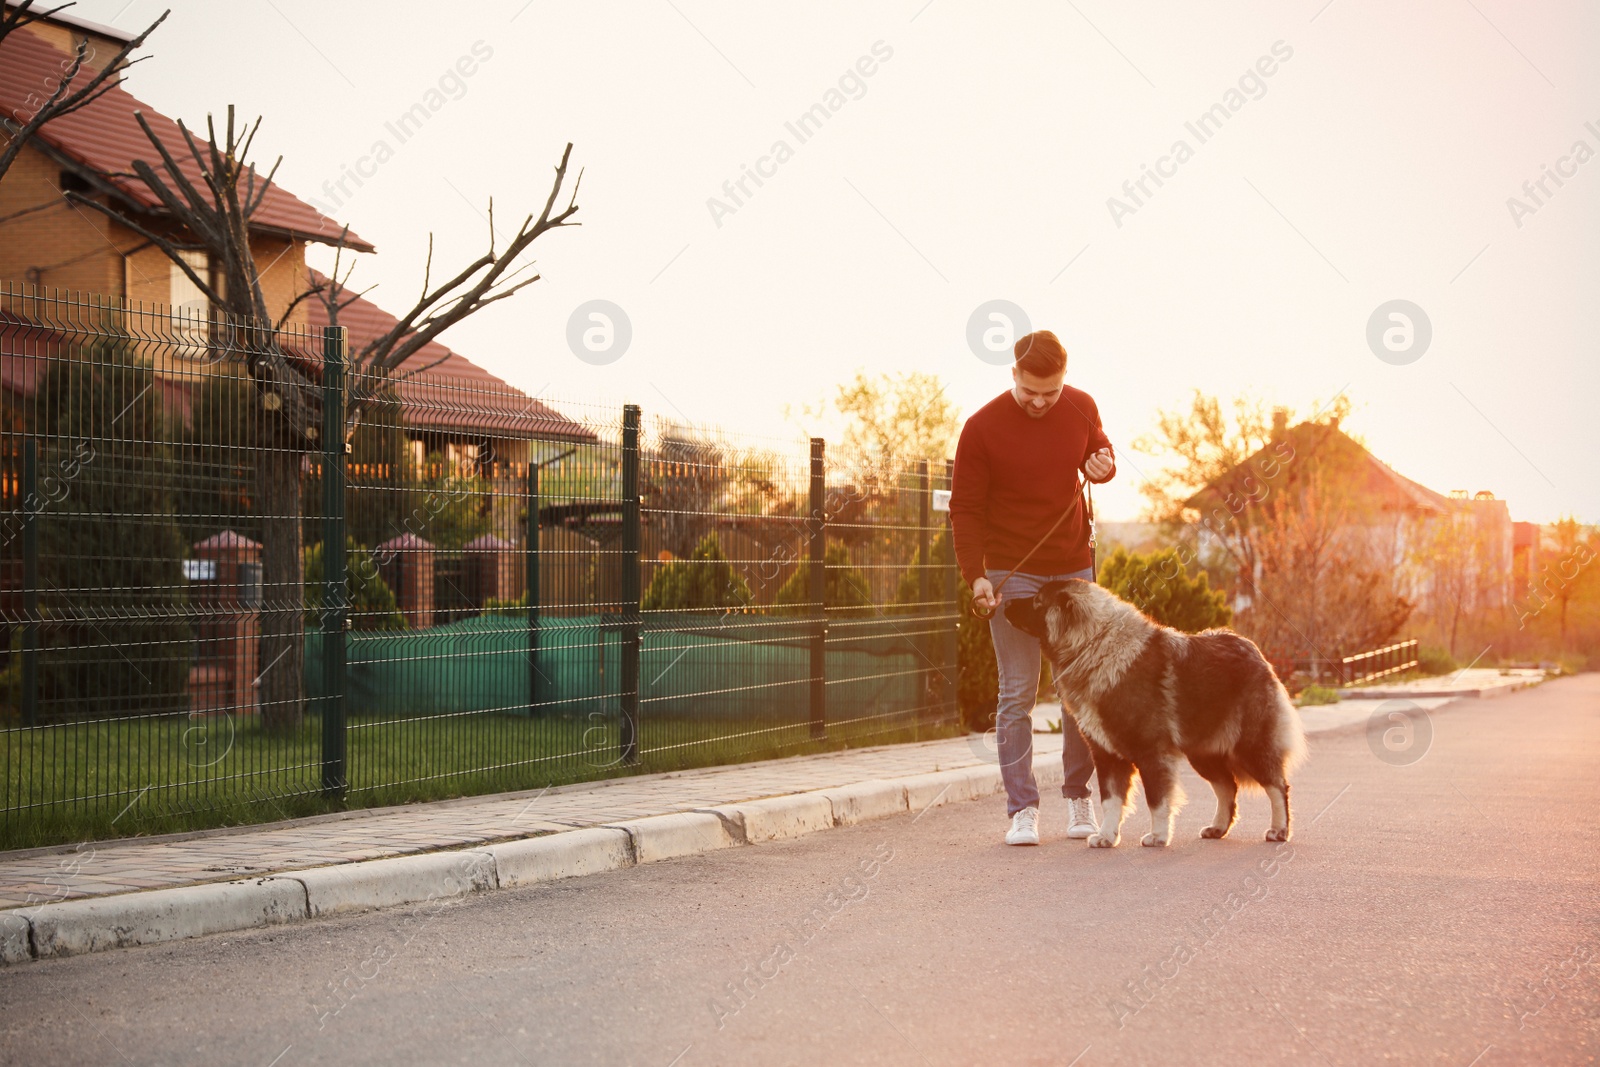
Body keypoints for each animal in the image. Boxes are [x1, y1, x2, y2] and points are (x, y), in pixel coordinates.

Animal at [1004, 579, 1305, 844]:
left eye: (1037, 601)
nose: (1005, 602)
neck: (1095, 646)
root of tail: (1252, 649)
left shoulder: (1151, 752)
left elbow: (1157, 799)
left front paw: (1158, 836)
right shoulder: (1107, 755)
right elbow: (1110, 800)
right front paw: (1106, 836)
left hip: (1249, 746)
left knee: (1277, 786)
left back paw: (1279, 831)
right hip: (1203, 753)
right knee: (1227, 787)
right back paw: (1218, 828)